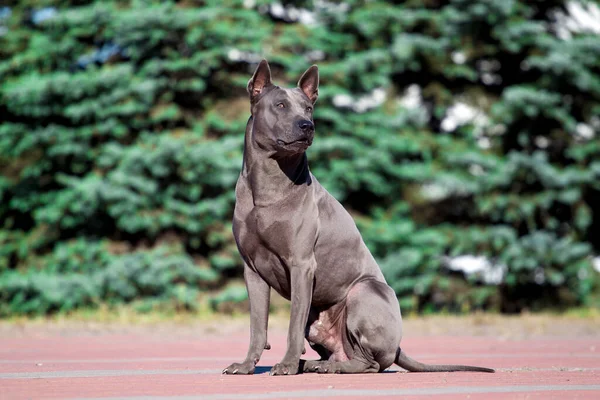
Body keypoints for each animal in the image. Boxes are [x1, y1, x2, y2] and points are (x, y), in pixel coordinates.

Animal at [223, 60, 494, 376]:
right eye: (280, 105)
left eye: (308, 108)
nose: (307, 125)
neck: (268, 182)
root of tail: (398, 346)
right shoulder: (252, 270)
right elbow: (257, 326)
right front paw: (245, 365)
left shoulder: (301, 264)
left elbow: (292, 325)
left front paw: (287, 364)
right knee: (340, 354)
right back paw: (315, 364)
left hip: (362, 292)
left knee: (371, 363)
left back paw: (325, 367)